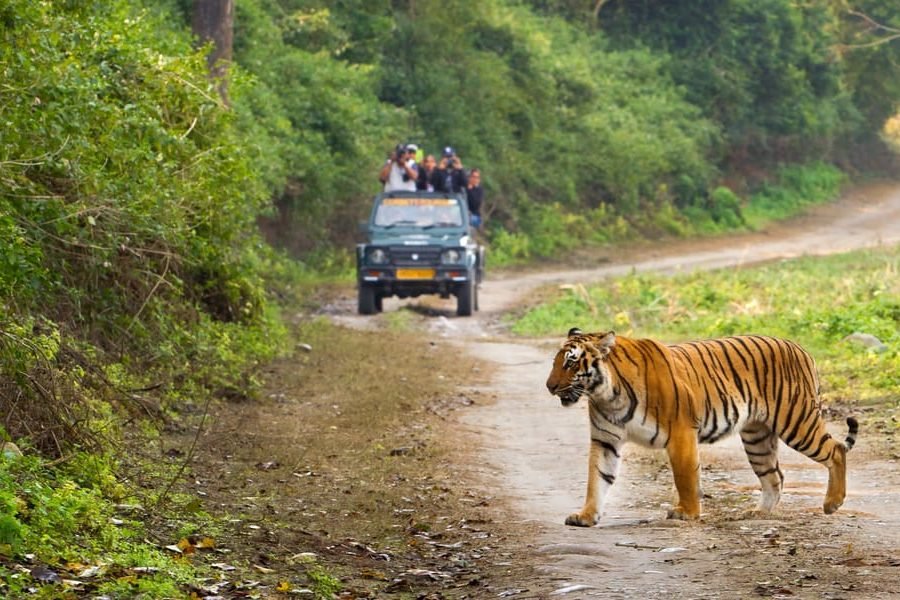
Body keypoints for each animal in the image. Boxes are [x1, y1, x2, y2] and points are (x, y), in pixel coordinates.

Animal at [544, 326, 860, 528]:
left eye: (571, 363)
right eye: (556, 362)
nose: (549, 387)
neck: (606, 394)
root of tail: (800, 347)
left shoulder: (681, 432)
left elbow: (684, 476)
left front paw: (687, 512)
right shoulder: (605, 440)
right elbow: (597, 479)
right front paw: (586, 516)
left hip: (797, 421)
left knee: (835, 450)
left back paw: (832, 503)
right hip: (757, 437)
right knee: (775, 476)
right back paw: (757, 514)